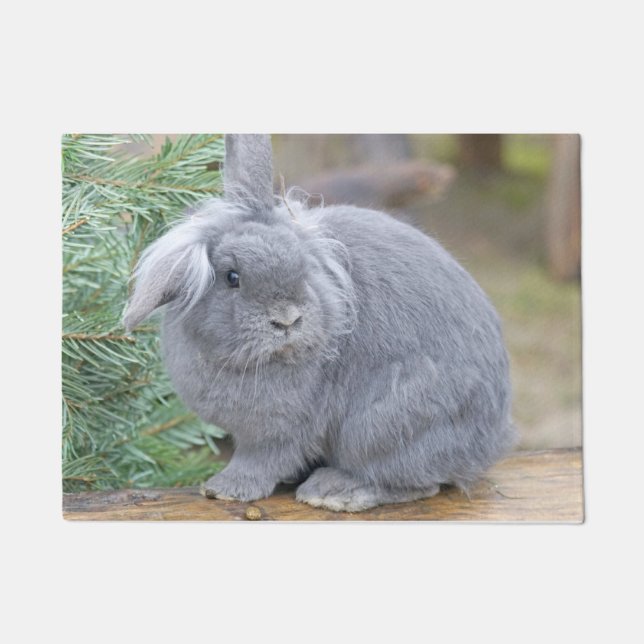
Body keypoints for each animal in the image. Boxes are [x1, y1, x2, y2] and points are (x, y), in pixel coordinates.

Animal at [123, 134, 516, 512]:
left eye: (303, 268)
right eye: (232, 277)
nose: (287, 319)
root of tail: (490, 441)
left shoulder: (278, 431)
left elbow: (261, 461)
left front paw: (225, 489)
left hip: (382, 427)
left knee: (416, 483)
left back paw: (335, 492)